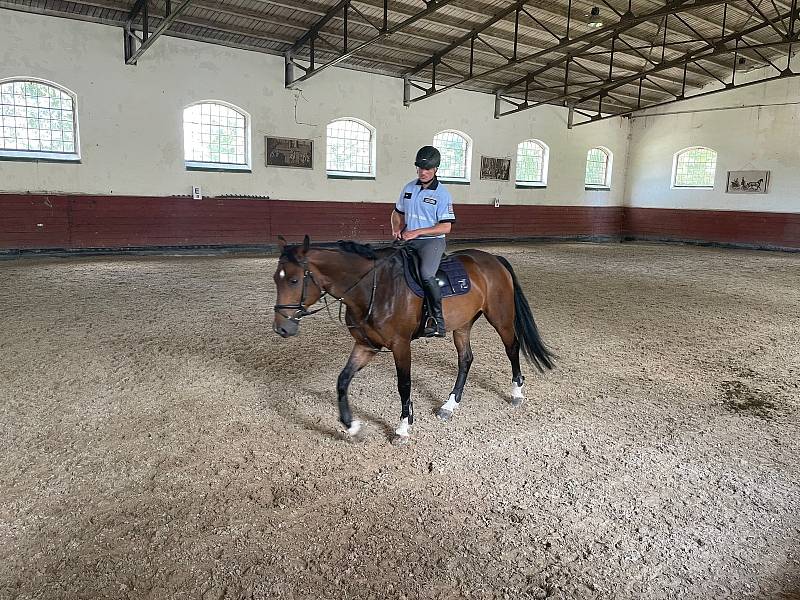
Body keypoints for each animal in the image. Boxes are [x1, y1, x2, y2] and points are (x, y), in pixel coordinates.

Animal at [272, 237, 552, 442]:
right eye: (276, 278)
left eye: (294, 280)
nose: (281, 328)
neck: (371, 287)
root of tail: (493, 259)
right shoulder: (366, 345)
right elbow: (342, 380)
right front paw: (352, 426)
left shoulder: (400, 345)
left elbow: (404, 385)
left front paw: (403, 427)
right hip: (462, 325)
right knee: (465, 359)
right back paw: (450, 405)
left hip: (501, 317)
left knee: (512, 348)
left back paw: (516, 393)